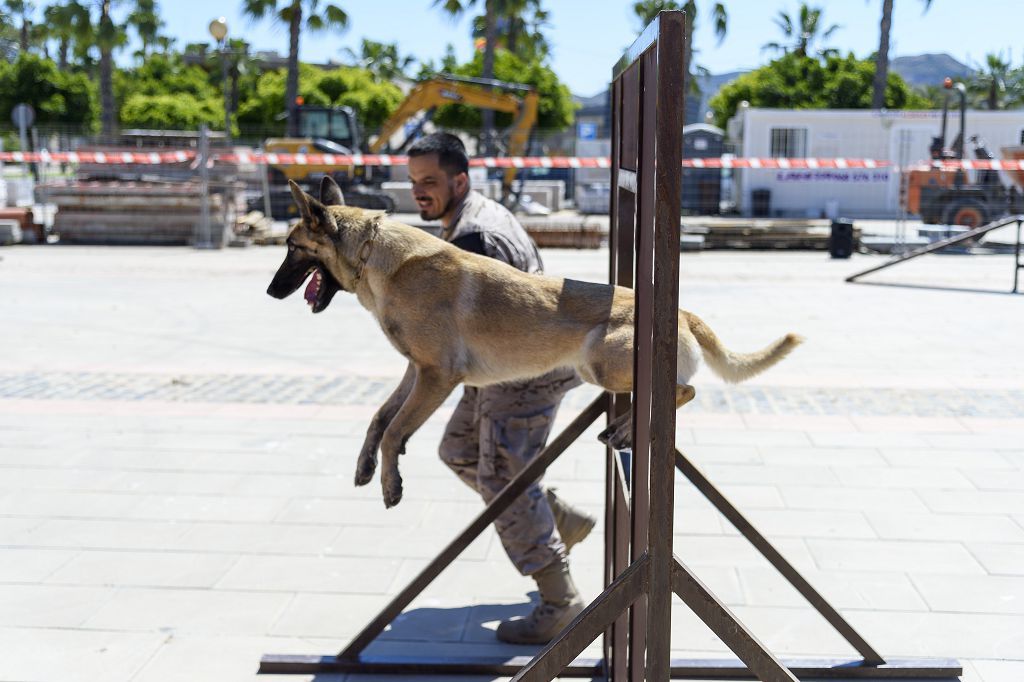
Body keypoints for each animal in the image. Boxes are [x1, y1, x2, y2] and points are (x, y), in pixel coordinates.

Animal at [264, 178, 798, 507]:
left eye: (291, 248)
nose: (269, 292)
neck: (376, 255)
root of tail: (683, 312)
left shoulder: (436, 377)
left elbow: (397, 429)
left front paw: (390, 483)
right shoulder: (415, 371)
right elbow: (380, 418)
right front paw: (366, 464)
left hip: (600, 361)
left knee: (682, 390)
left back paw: (630, 429)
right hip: (598, 370)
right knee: (653, 396)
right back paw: (624, 428)